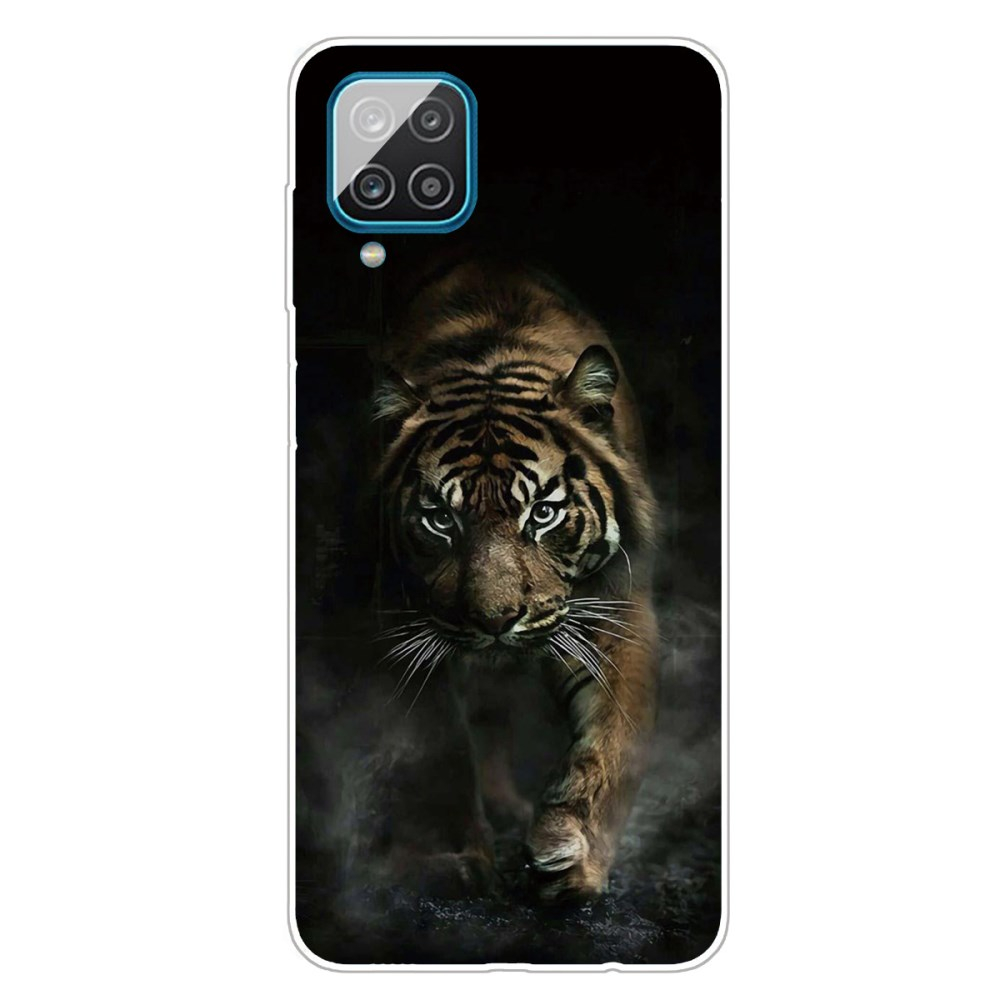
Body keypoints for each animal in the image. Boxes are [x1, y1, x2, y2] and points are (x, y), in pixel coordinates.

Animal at [372, 260, 659, 902]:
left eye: (543, 514)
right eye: (440, 518)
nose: (496, 620)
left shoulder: (616, 609)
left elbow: (612, 741)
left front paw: (571, 857)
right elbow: (441, 747)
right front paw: (456, 860)